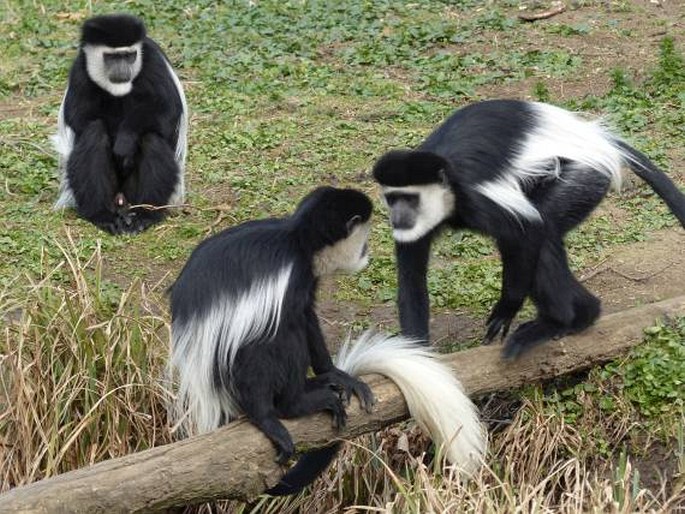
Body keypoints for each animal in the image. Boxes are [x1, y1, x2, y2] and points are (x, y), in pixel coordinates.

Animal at [52, 14, 187, 234]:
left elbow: (167, 110)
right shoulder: (80, 69)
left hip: (135, 190)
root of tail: (123, 200)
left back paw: (144, 215)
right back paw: (103, 215)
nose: (123, 70)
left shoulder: (154, 61)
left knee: (152, 140)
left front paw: (124, 141)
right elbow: (79, 116)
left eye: (130, 55)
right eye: (111, 57)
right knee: (94, 133)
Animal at [168, 186, 484, 494]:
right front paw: (274, 415)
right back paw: (288, 406)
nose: (366, 251)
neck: (298, 243)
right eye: (363, 236)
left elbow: (308, 315)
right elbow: (281, 328)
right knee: (274, 339)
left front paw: (335, 374)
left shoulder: (307, 280)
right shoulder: (291, 276)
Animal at [374, 99, 684, 356]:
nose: (397, 217)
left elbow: (527, 230)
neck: (447, 194)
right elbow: (412, 280)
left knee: (542, 231)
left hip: (582, 177)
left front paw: (505, 311)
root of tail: (596, 137)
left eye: (410, 199)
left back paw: (558, 322)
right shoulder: (413, 230)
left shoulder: (477, 198)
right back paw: (587, 312)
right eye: (392, 198)